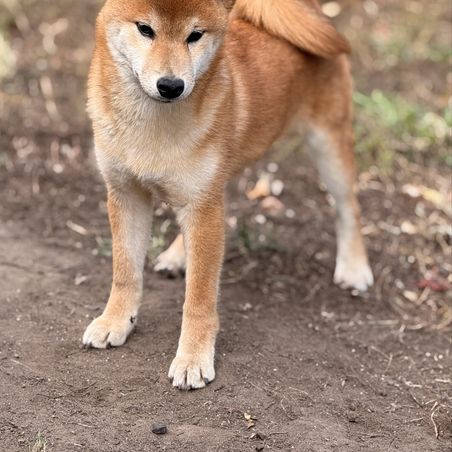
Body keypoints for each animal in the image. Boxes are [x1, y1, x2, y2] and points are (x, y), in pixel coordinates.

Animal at [83, 0, 374, 390]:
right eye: (145, 29)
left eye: (195, 35)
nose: (171, 85)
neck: (151, 126)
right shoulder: (127, 194)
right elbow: (126, 273)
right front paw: (115, 321)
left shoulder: (203, 204)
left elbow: (200, 298)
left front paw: (193, 358)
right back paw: (178, 254)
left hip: (328, 145)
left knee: (348, 209)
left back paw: (354, 267)